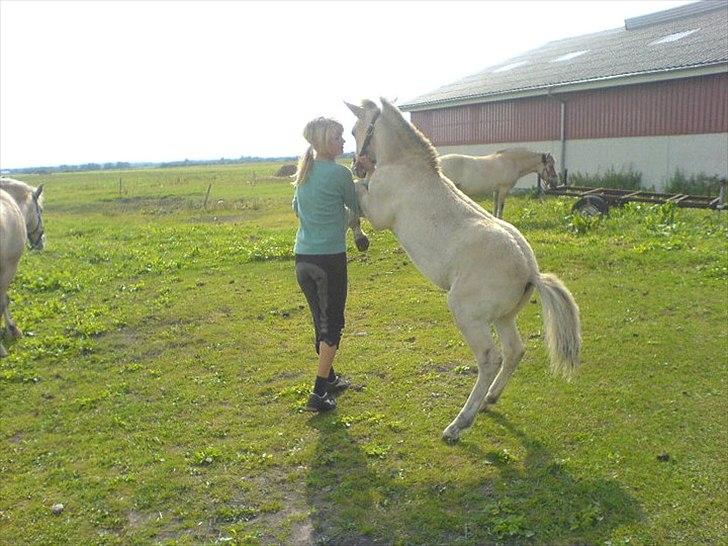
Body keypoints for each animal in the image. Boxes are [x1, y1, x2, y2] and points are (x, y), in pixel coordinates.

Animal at [346, 99, 580, 442]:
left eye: (355, 129)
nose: (358, 166)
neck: (407, 169)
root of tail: (531, 271)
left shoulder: (378, 213)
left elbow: (353, 197)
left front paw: (360, 237)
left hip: (468, 315)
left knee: (490, 359)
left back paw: (459, 423)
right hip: (502, 318)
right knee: (514, 351)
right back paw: (489, 399)